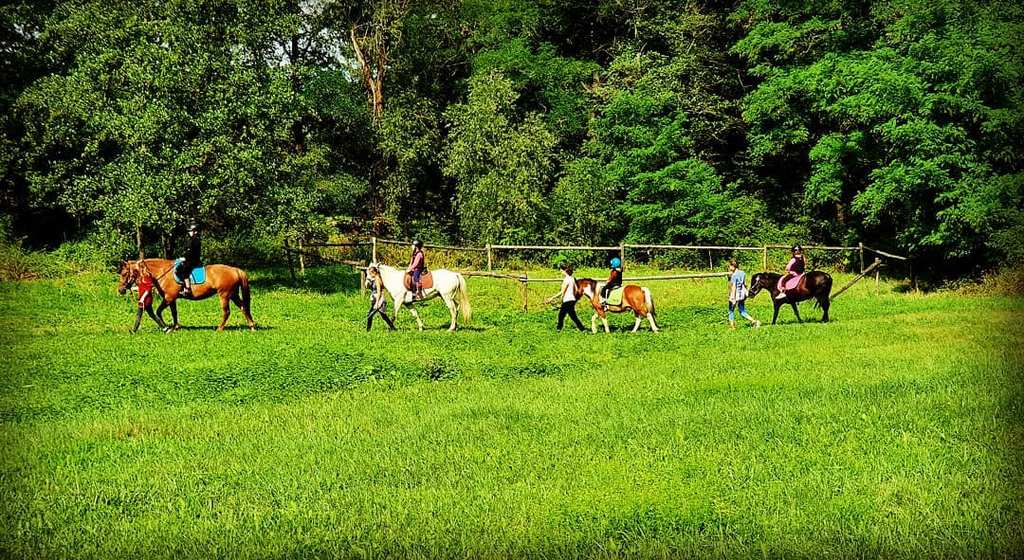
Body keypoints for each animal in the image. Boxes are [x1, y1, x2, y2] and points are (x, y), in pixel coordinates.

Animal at [116, 260, 256, 333]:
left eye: (124, 273)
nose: (120, 290)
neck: (163, 272)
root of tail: (235, 270)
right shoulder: (171, 299)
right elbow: (174, 313)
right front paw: (176, 327)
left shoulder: (168, 298)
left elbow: (158, 312)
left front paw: (167, 327)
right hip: (233, 294)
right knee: (244, 307)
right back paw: (252, 326)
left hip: (224, 295)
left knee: (226, 312)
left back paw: (219, 329)